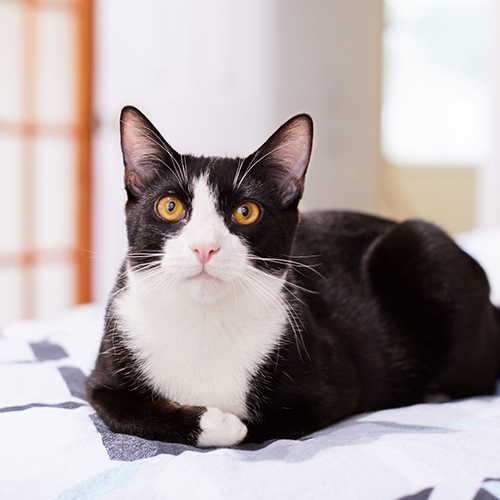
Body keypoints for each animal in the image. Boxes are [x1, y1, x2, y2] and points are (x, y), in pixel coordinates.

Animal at [86, 105, 500, 446]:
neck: (204, 321)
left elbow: (264, 426)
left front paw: (228, 423)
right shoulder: (100, 377)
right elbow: (119, 410)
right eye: (170, 206)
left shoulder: (336, 389)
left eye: (246, 212)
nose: (205, 247)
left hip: (421, 244)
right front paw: (215, 422)